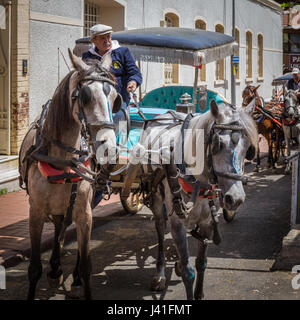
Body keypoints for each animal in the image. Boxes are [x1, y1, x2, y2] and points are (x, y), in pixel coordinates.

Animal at [19, 50, 122, 300]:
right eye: (84, 97)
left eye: (116, 98)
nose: (109, 149)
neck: (62, 160)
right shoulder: (35, 213)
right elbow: (34, 268)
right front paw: (49, 269)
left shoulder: (84, 212)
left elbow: (86, 265)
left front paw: (78, 278)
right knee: (59, 226)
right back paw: (55, 268)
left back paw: (68, 275)